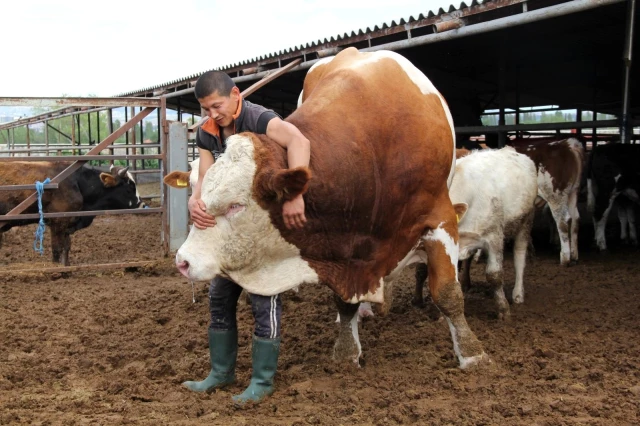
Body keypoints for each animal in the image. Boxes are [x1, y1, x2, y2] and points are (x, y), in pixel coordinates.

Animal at [0, 162, 144, 264]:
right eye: (129, 186)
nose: (141, 204)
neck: (77, 183)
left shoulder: (68, 223)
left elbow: (66, 246)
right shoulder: (58, 222)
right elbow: (57, 249)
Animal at [172, 47, 488, 370]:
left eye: (236, 206)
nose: (182, 261)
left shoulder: (441, 216)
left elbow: (448, 291)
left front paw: (472, 353)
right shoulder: (341, 245)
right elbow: (344, 303)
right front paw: (347, 352)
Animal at [412, 148, 536, 318]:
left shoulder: (494, 236)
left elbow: (495, 275)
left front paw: (503, 310)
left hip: (526, 220)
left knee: (519, 255)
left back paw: (517, 294)